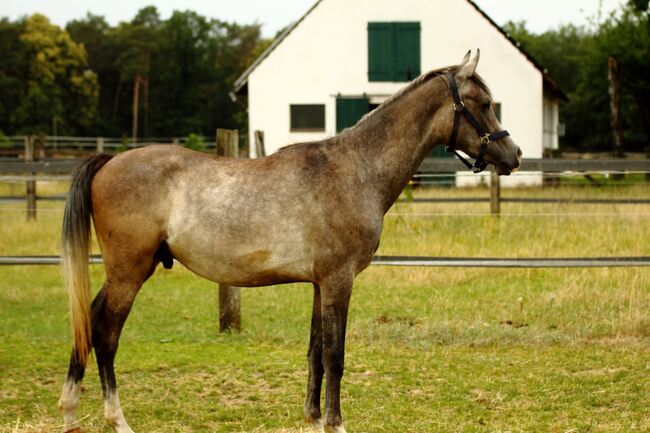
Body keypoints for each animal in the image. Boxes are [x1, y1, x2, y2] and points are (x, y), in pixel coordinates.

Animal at [58, 51, 520, 432]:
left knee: (88, 322)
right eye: (484, 104)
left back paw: (70, 413)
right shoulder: (338, 280)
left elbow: (315, 352)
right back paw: (116, 420)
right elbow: (335, 355)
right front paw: (335, 423)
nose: (513, 155)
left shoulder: (320, 283)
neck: (355, 170)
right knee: (105, 333)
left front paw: (313, 419)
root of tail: (109, 161)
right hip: (129, 272)